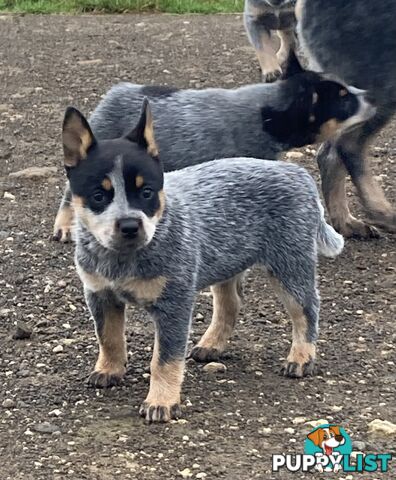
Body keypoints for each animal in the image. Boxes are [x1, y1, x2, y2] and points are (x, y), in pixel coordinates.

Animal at [61, 99, 344, 422]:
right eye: (98, 195)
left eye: (147, 192)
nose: (131, 226)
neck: (122, 259)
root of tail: (298, 173)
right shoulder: (99, 294)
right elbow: (108, 337)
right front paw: (109, 369)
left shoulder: (174, 303)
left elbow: (165, 359)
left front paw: (161, 402)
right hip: (227, 260)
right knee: (230, 304)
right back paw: (212, 344)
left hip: (289, 263)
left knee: (306, 309)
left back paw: (301, 358)